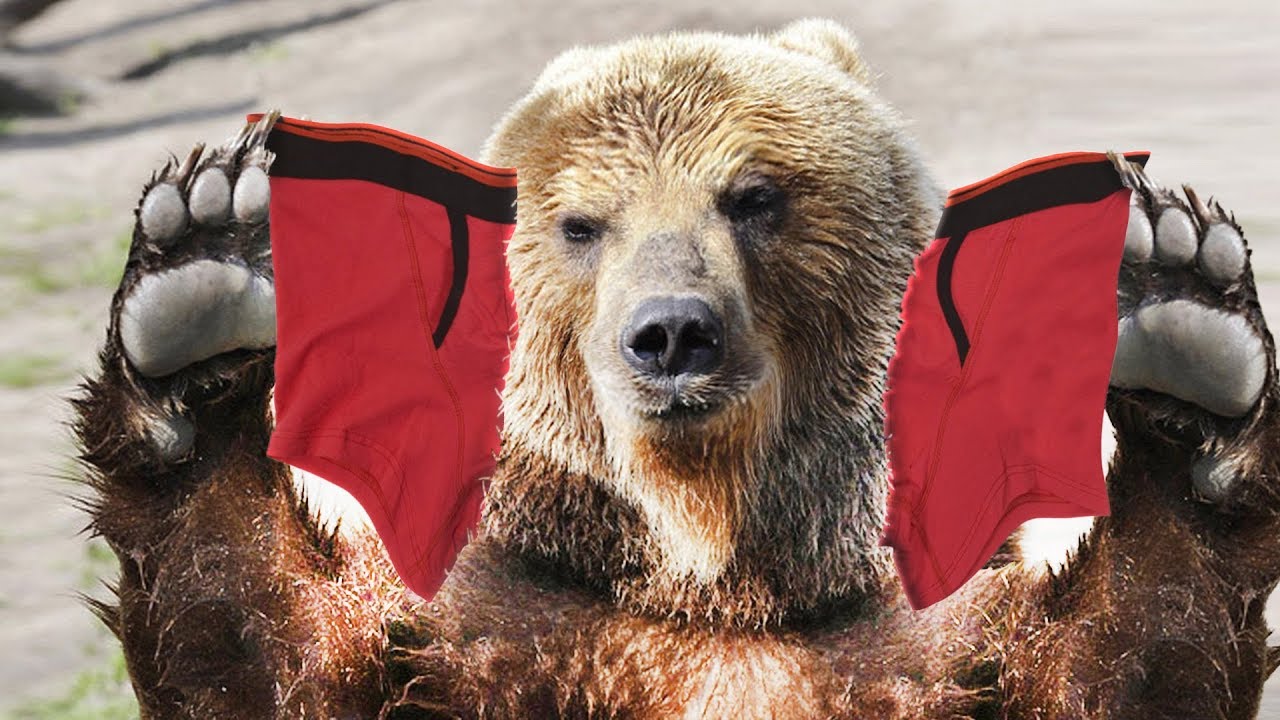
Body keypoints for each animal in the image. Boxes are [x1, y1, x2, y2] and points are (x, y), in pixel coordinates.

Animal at [73, 17, 1280, 719]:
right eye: (579, 224)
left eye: (753, 195)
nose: (672, 334)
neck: (713, 579)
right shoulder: (495, 638)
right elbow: (261, 643)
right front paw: (205, 270)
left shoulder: (928, 649)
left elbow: (1123, 658)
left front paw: (1183, 324)